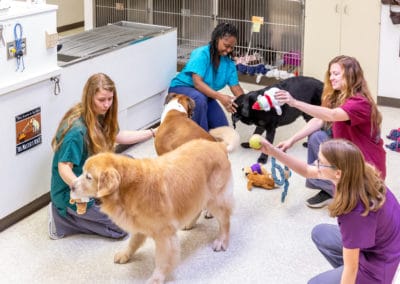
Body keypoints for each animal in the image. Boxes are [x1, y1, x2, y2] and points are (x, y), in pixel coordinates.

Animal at [71, 140, 233, 284]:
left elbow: (162, 260)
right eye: (82, 172)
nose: (71, 185)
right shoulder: (139, 224)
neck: (127, 189)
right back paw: (190, 222)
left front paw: (157, 278)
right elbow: (133, 242)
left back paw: (221, 240)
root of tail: (217, 144)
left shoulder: (164, 236)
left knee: (225, 220)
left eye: (88, 177)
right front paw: (125, 254)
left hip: (215, 199)